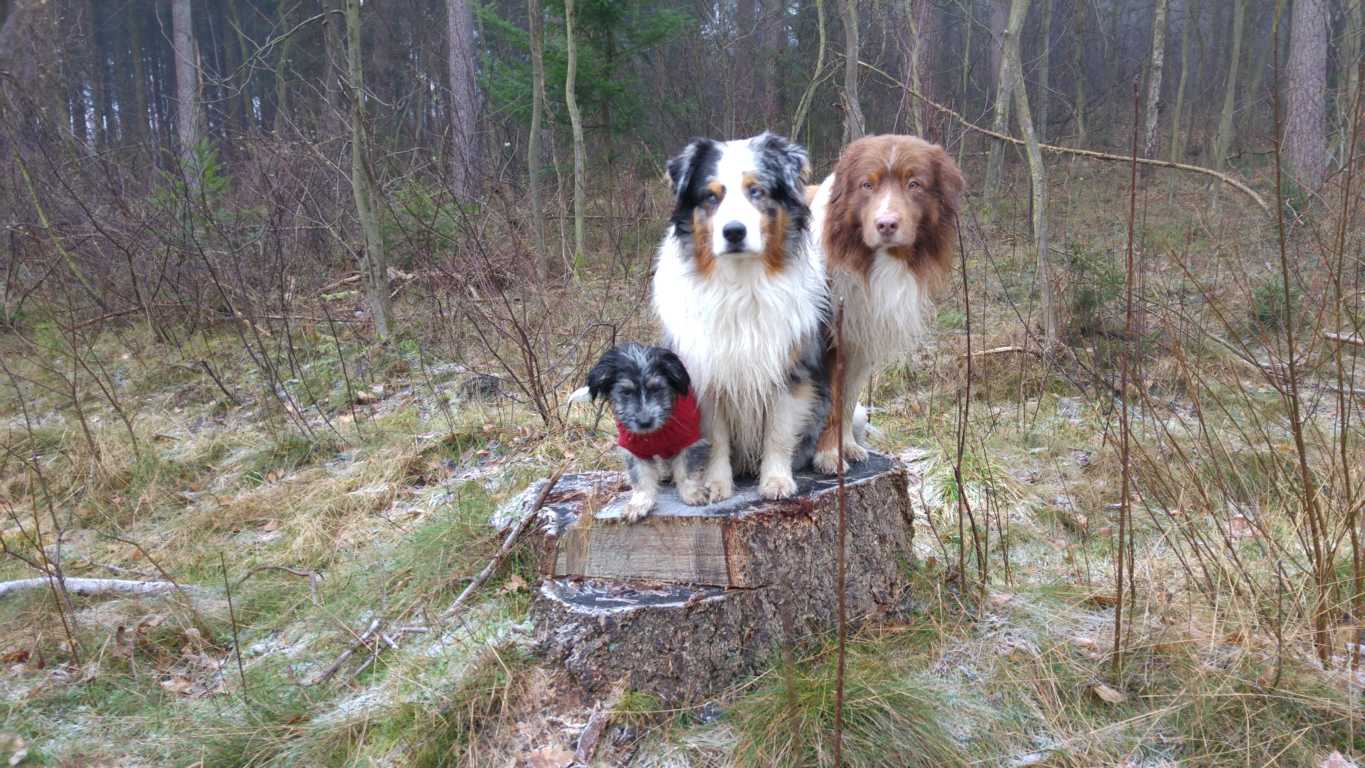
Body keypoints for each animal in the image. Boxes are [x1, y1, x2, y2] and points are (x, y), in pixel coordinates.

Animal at [584, 343, 704, 521]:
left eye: (656, 389)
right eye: (626, 392)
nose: (645, 422)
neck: (656, 432)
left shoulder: (689, 440)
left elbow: (687, 469)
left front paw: (692, 493)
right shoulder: (634, 449)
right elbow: (640, 477)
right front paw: (639, 504)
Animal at [802, 135, 966, 471]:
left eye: (914, 184)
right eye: (867, 185)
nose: (886, 224)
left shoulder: (859, 340)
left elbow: (847, 397)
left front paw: (847, 447)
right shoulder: (829, 337)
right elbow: (831, 400)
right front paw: (829, 454)